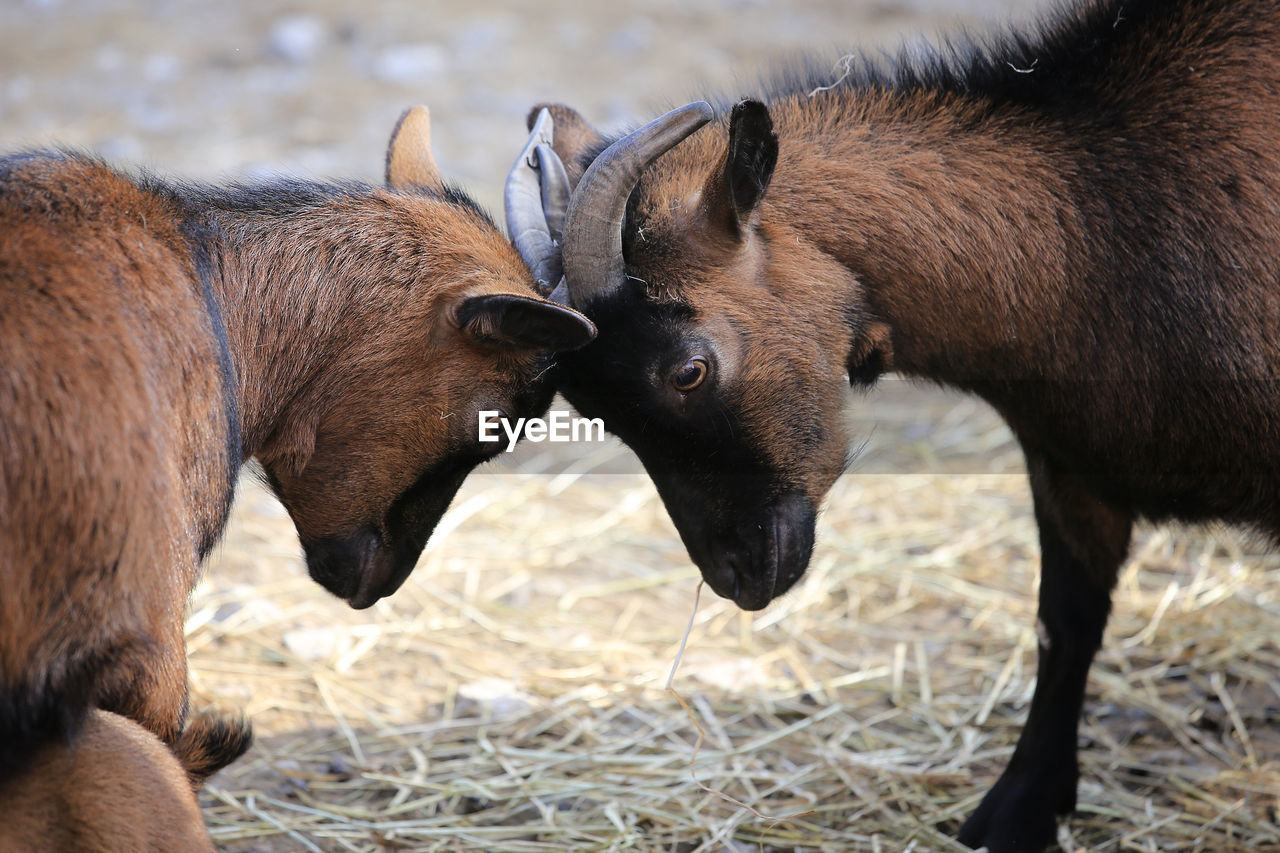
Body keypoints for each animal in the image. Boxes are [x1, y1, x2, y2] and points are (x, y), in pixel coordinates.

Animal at [504, 3, 1280, 845]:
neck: (1098, 220)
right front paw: (1017, 808)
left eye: (688, 370)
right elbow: (1064, 624)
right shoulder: (1069, 466)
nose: (737, 575)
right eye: (591, 409)